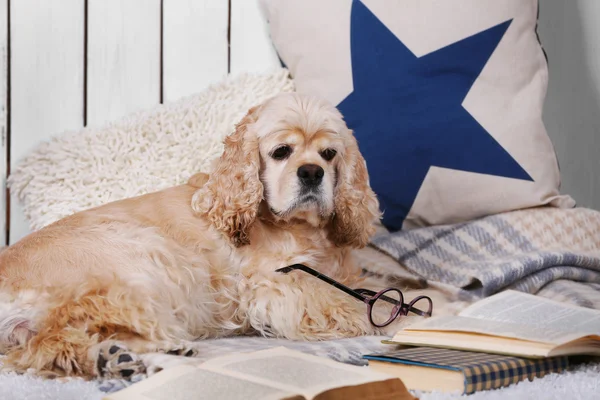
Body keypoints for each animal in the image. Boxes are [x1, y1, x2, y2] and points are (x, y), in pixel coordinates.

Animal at [0, 92, 412, 380]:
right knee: (58, 343)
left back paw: (121, 359)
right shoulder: (276, 284)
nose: (312, 172)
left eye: (329, 153)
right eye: (281, 151)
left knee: (50, 348)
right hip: (141, 262)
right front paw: (400, 319)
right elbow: (351, 304)